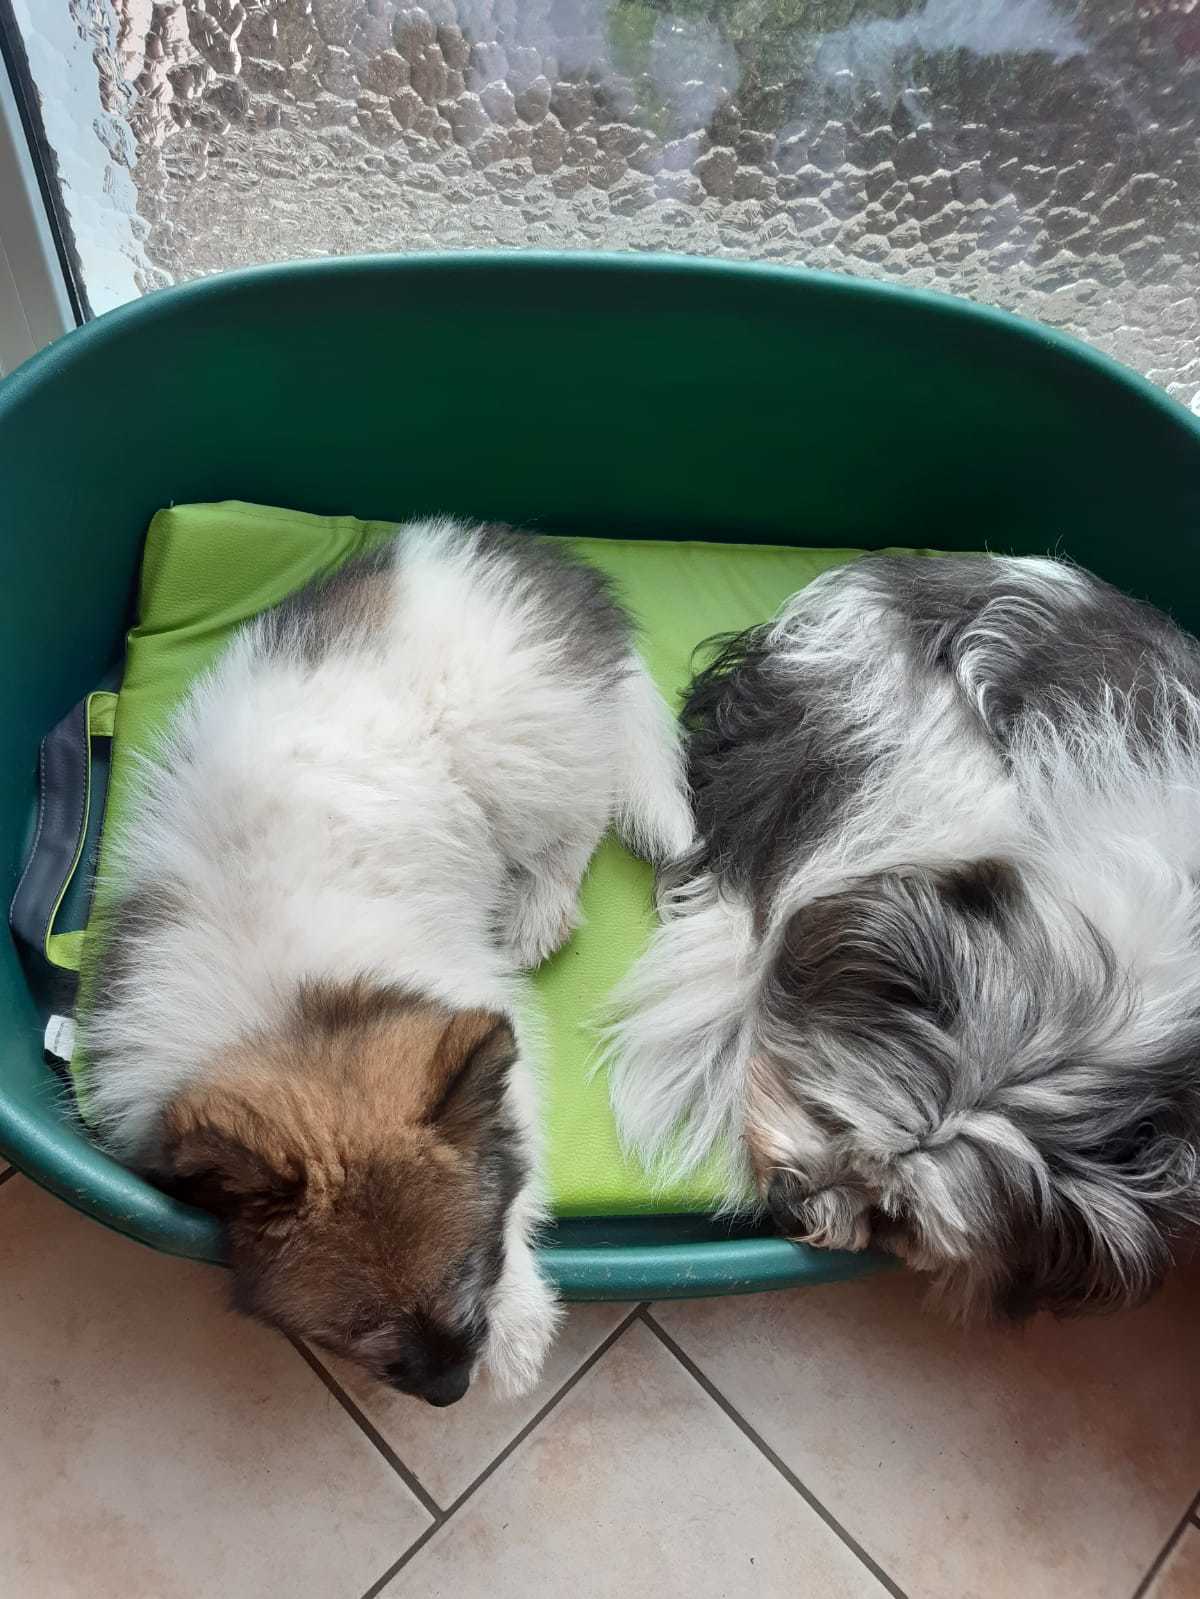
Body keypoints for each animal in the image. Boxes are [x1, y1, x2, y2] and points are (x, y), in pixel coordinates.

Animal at [82, 519, 692, 1404]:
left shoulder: (476, 1012)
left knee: (584, 812)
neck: (293, 1010)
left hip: (521, 758)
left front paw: (517, 1323)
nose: (449, 1391)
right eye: (358, 1328)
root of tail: (538, 561)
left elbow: (515, 1152)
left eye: (469, 1271)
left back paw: (539, 906)